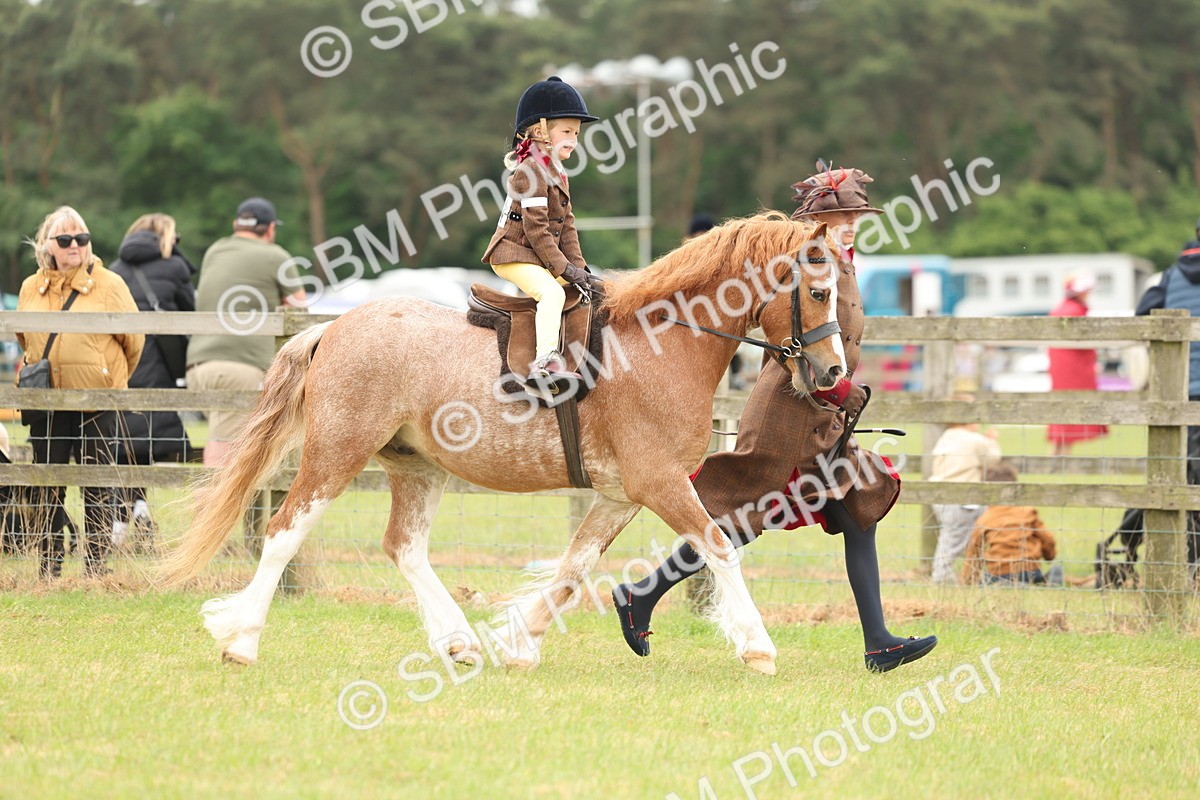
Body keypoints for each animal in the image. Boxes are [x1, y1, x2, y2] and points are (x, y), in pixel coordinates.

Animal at [160, 211, 849, 675]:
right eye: (819, 292)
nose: (834, 373)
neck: (663, 344)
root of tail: (332, 328)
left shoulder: (620, 495)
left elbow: (573, 569)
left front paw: (519, 644)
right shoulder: (659, 484)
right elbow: (718, 547)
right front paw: (758, 648)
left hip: (416, 468)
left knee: (405, 548)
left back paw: (459, 642)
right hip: (337, 454)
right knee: (284, 531)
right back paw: (241, 640)